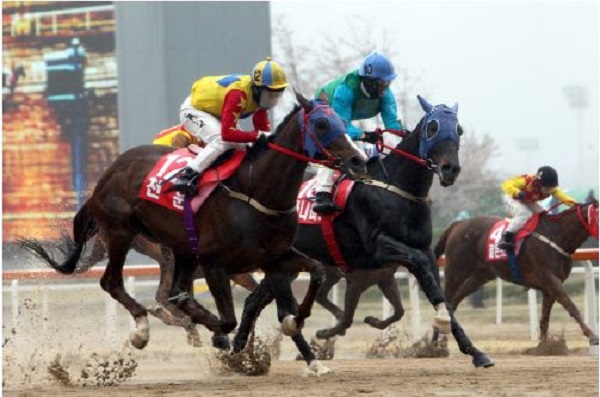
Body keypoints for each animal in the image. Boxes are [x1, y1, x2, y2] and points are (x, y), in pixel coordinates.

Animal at [232, 95, 494, 368]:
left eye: (459, 130)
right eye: (432, 128)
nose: (450, 169)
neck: (396, 190)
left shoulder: (424, 250)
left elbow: (439, 294)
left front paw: (475, 351)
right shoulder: (378, 248)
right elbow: (419, 269)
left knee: (254, 301)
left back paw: (243, 353)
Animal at [436, 200, 600, 344]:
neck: (556, 236)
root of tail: (458, 224)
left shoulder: (550, 286)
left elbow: (545, 318)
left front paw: (544, 345)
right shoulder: (549, 279)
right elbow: (570, 305)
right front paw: (592, 335)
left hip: (479, 276)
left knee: (454, 302)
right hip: (456, 270)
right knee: (446, 300)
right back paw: (435, 342)